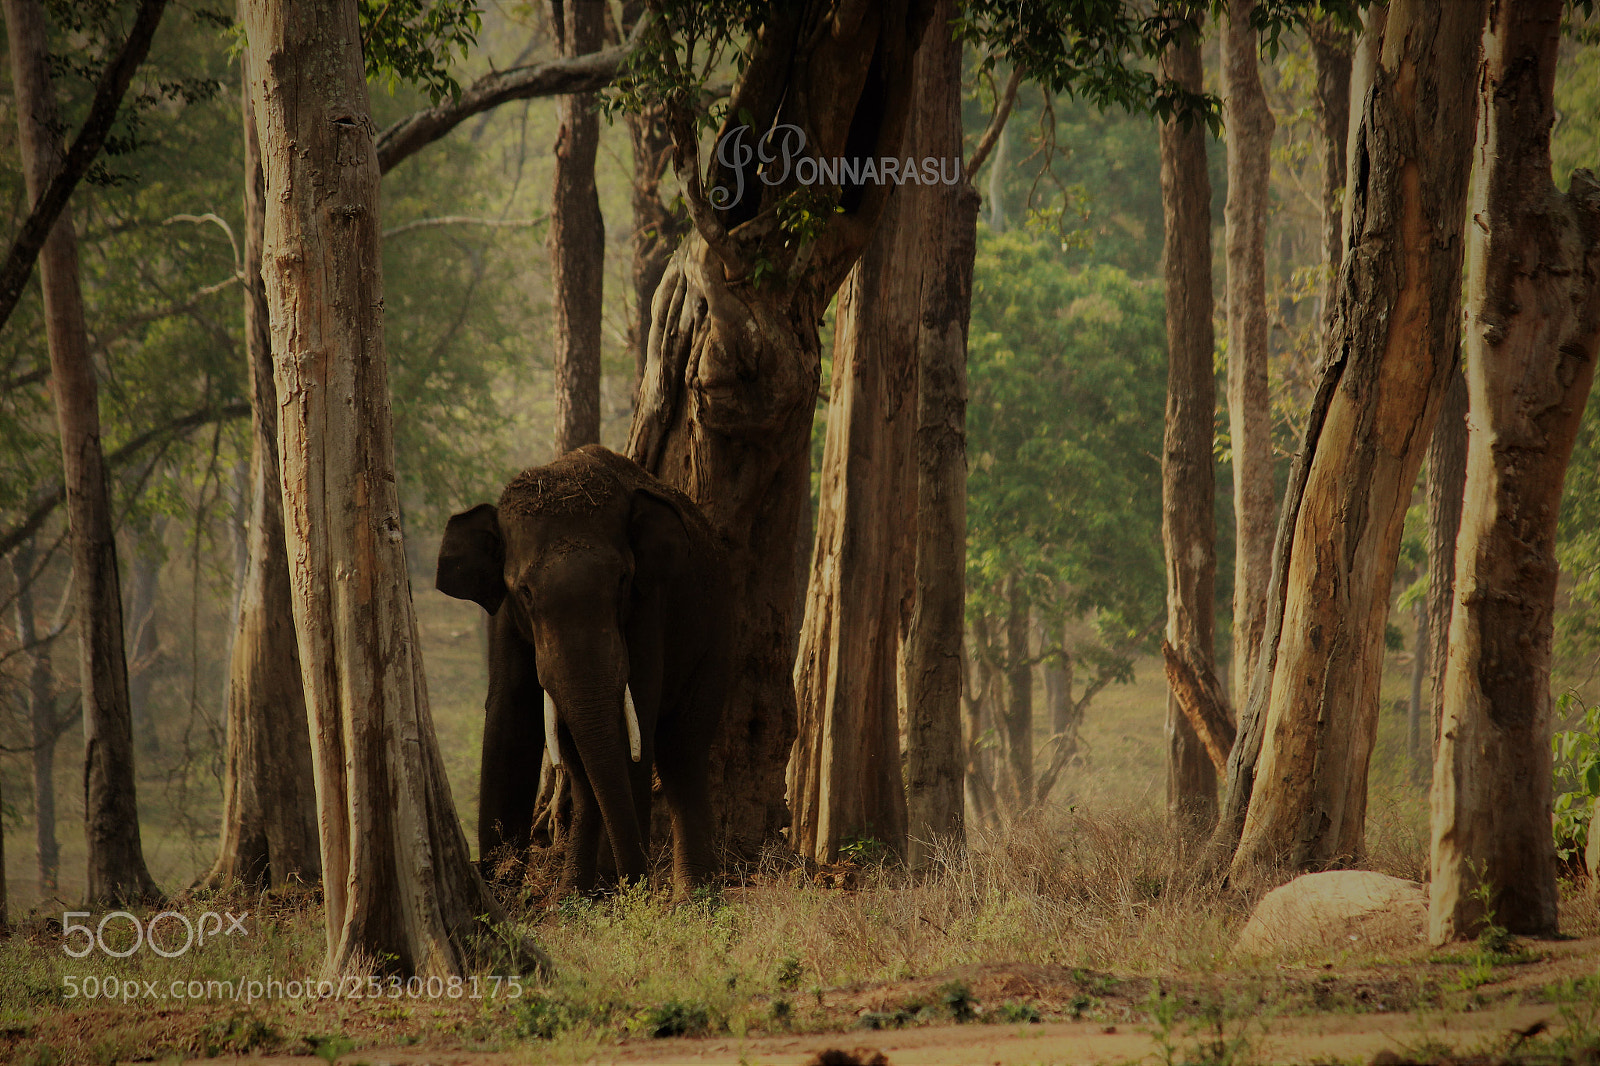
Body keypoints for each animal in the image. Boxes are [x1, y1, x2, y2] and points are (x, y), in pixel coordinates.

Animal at [434, 444, 731, 897]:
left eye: (623, 581)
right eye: (525, 592)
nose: (638, 883)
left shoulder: (650, 606)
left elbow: (634, 725)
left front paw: (624, 893)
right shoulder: (504, 618)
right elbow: (508, 720)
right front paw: (502, 892)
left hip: (716, 639)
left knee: (682, 750)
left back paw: (691, 895)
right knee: (585, 764)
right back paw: (577, 892)